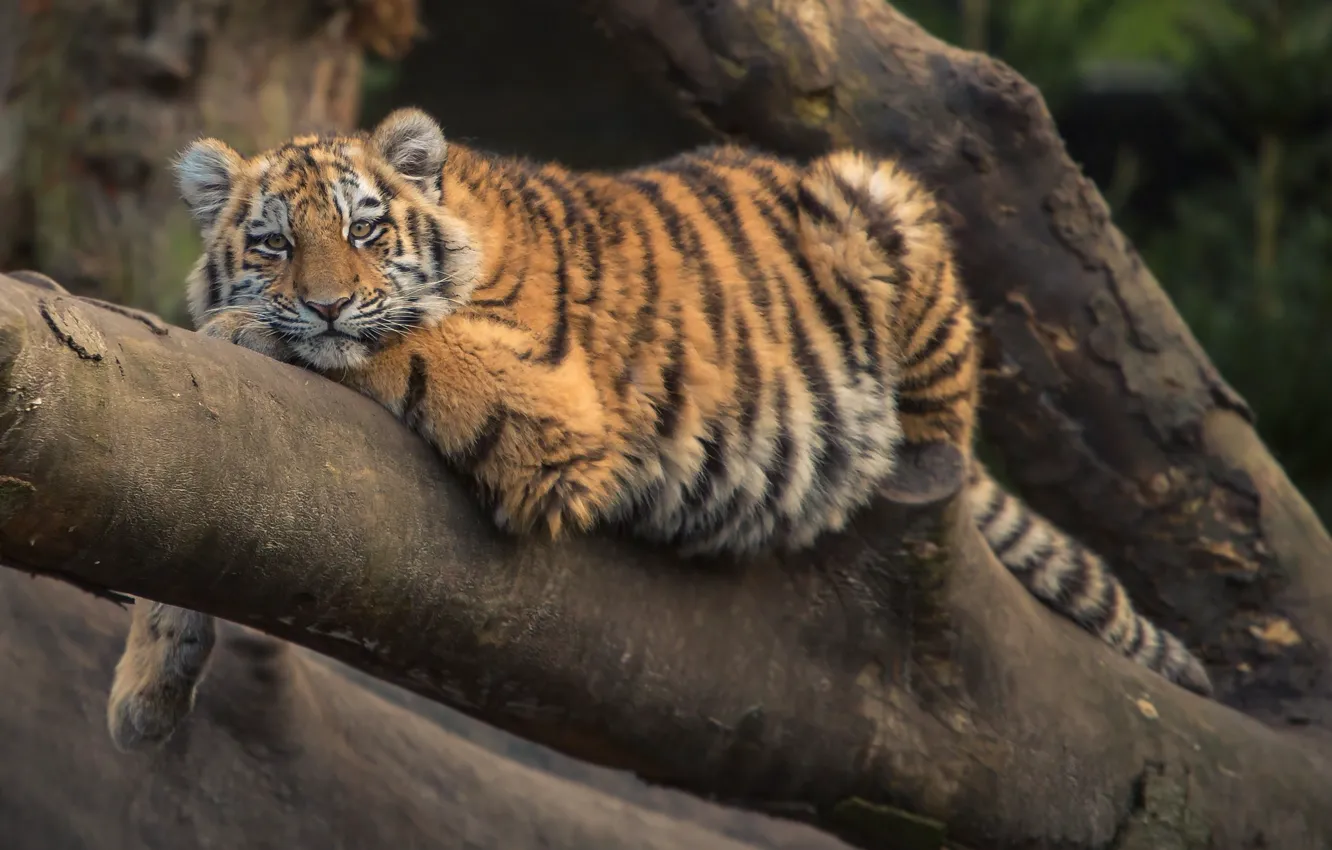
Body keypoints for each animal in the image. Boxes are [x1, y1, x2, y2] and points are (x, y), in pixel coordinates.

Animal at [106, 107, 1213, 752]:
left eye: (367, 229)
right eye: (272, 243)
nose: (326, 303)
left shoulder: (547, 402)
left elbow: (401, 342)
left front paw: (246, 329)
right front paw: (145, 694)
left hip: (881, 204)